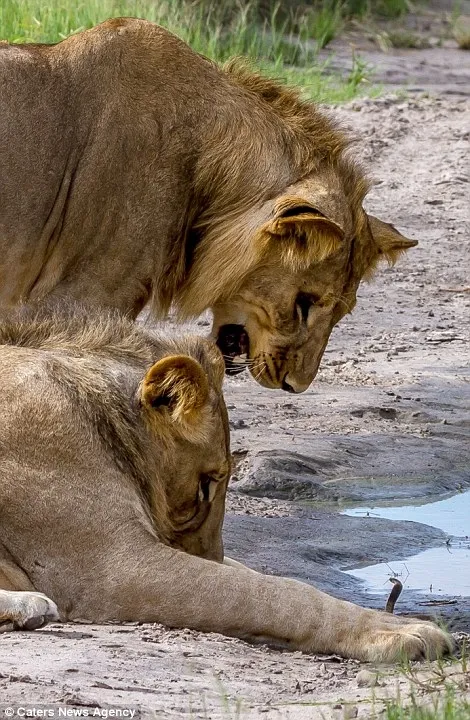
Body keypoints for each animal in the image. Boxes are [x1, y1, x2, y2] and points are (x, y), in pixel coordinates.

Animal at [0, 306, 450, 660]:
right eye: (206, 485)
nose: (211, 555)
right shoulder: (109, 567)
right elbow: (274, 594)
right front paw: (399, 632)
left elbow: (262, 577)